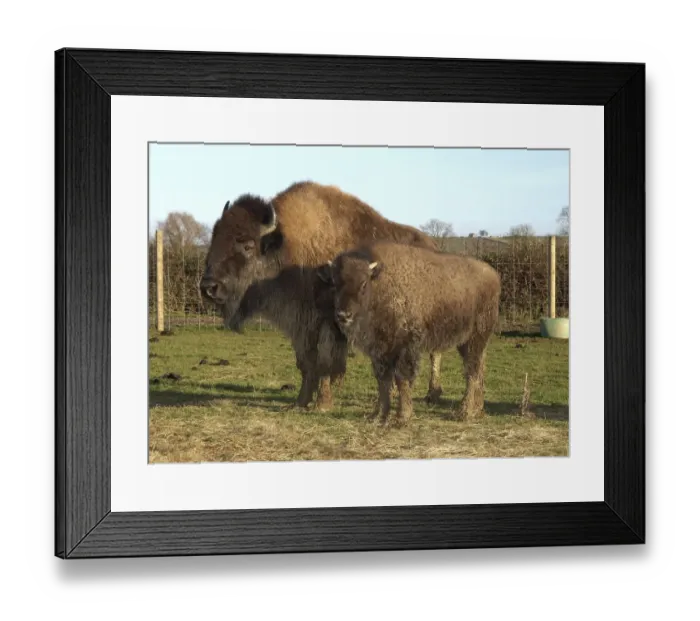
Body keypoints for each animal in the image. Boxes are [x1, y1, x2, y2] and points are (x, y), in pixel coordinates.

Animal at [199, 181, 444, 411]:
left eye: (248, 245)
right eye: (215, 238)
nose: (208, 287)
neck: (288, 247)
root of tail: (434, 245)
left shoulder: (330, 322)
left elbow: (326, 362)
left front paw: (323, 404)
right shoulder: (301, 324)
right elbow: (306, 363)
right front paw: (300, 402)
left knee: (435, 352)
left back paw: (432, 394)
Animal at [316, 241, 501, 426]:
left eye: (363, 284)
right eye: (335, 284)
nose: (343, 315)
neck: (380, 283)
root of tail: (493, 276)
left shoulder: (404, 348)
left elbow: (401, 380)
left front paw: (401, 417)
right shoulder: (379, 351)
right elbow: (382, 381)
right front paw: (377, 415)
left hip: (476, 338)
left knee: (472, 371)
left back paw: (464, 412)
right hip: (467, 342)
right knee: (480, 368)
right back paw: (478, 410)